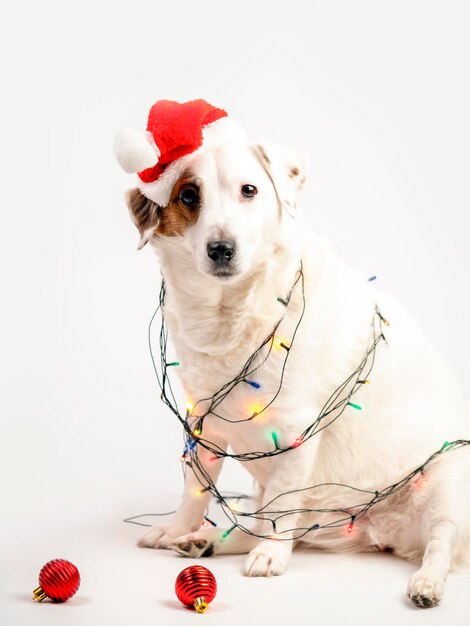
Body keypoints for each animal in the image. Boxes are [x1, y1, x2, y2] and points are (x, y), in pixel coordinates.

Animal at [115, 109, 470, 608]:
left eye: (249, 190)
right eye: (187, 195)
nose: (221, 249)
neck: (233, 314)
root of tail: (378, 532)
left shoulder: (296, 433)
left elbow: (283, 504)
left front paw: (270, 557)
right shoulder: (200, 422)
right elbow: (195, 490)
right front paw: (181, 527)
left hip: (446, 484)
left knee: (439, 542)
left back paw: (425, 583)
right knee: (270, 522)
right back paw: (206, 540)